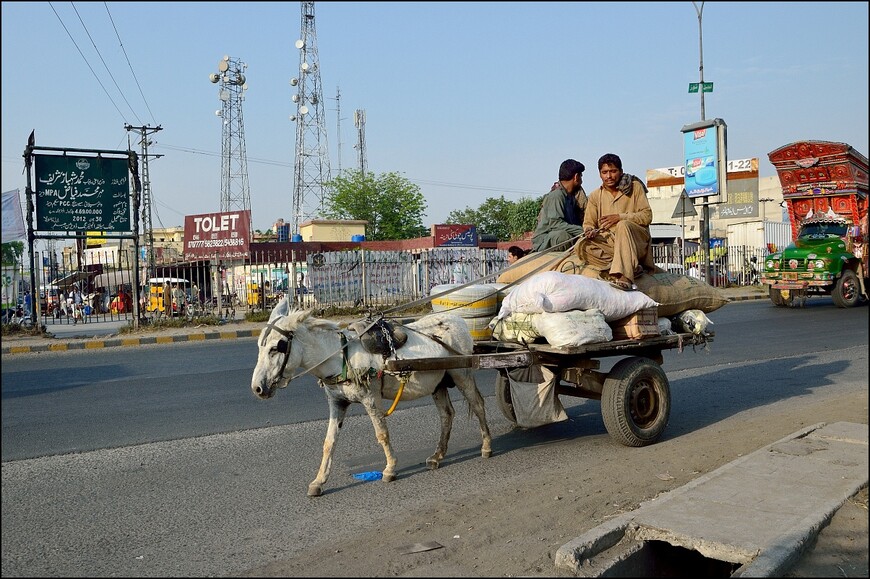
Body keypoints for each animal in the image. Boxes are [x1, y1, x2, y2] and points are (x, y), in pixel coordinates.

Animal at [255, 300, 494, 498]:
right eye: (260, 346)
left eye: (277, 348)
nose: (257, 388)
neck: (340, 356)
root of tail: (457, 320)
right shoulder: (337, 403)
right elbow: (329, 442)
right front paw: (319, 481)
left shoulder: (370, 399)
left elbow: (382, 433)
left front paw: (390, 469)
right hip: (438, 382)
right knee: (446, 414)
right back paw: (437, 456)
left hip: (461, 374)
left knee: (478, 404)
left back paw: (486, 446)